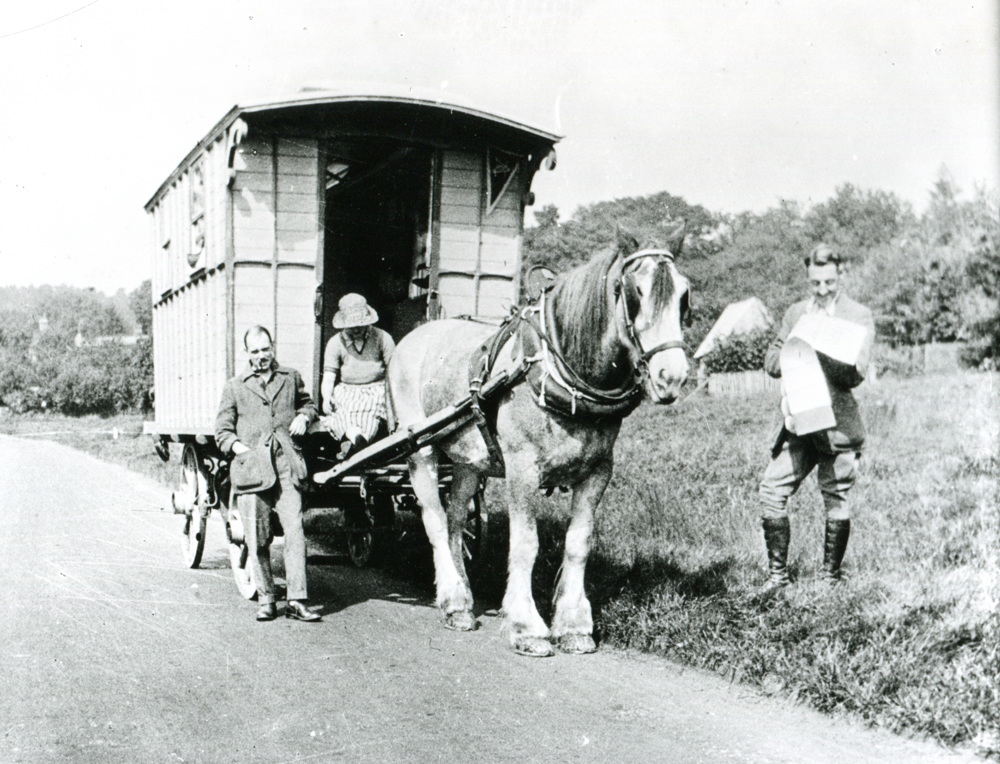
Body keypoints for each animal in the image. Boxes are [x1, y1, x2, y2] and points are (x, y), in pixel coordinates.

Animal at [386, 227, 692, 656]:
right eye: (635, 291)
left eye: (684, 295)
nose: (672, 377)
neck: (560, 371)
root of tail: (412, 337)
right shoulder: (522, 470)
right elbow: (525, 544)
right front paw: (526, 624)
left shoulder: (599, 471)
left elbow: (578, 543)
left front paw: (574, 624)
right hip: (422, 450)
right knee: (433, 519)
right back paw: (452, 599)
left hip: (466, 460)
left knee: (455, 519)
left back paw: (463, 598)